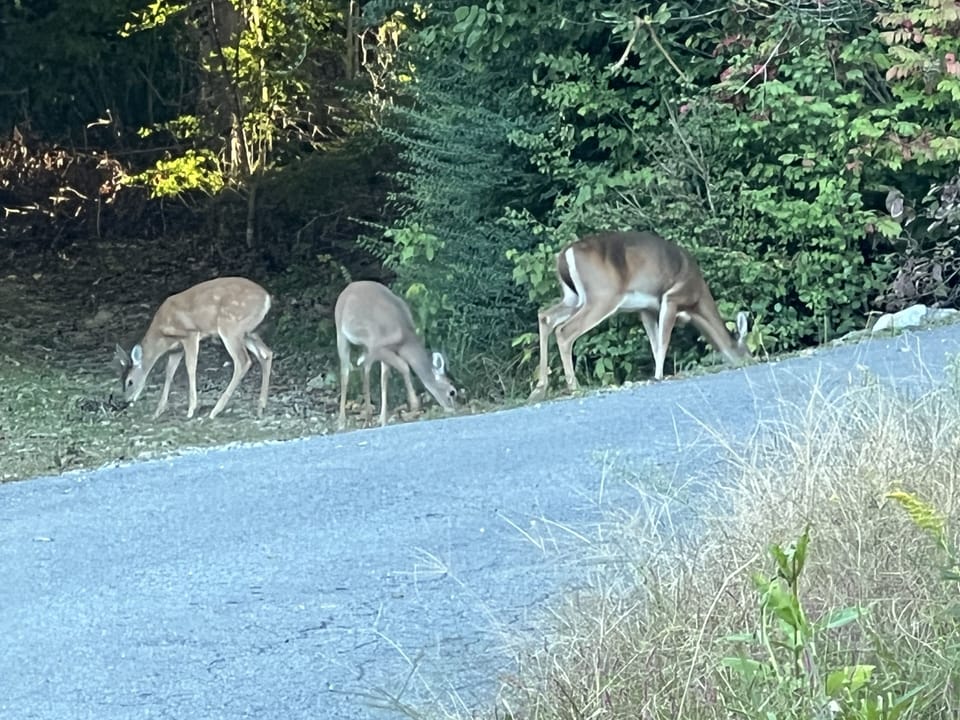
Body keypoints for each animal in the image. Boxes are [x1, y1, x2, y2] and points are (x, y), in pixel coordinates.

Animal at [114, 276, 274, 419]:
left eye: (130, 382)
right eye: (121, 380)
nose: (126, 401)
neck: (162, 336)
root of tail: (267, 298)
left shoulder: (190, 333)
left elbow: (190, 367)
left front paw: (191, 409)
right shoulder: (176, 349)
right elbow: (169, 372)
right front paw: (158, 411)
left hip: (231, 327)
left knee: (243, 361)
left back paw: (215, 410)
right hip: (248, 332)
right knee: (266, 354)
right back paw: (260, 408)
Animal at [335, 280, 457, 429]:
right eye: (452, 392)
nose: (453, 409)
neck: (404, 337)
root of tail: (346, 289)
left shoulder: (382, 351)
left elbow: (384, 379)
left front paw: (383, 420)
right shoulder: (377, 346)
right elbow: (404, 366)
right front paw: (414, 404)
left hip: (365, 347)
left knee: (366, 371)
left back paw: (369, 418)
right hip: (341, 335)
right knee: (346, 373)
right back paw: (343, 422)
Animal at [529, 230, 751, 402]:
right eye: (748, 351)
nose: (752, 360)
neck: (696, 303)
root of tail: (565, 255)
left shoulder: (646, 309)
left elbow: (654, 342)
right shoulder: (671, 298)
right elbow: (663, 340)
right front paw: (659, 375)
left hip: (573, 297)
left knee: (545, 316)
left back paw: (539, 389)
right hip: (602, 296)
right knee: (564, 330)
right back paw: (574, 386)